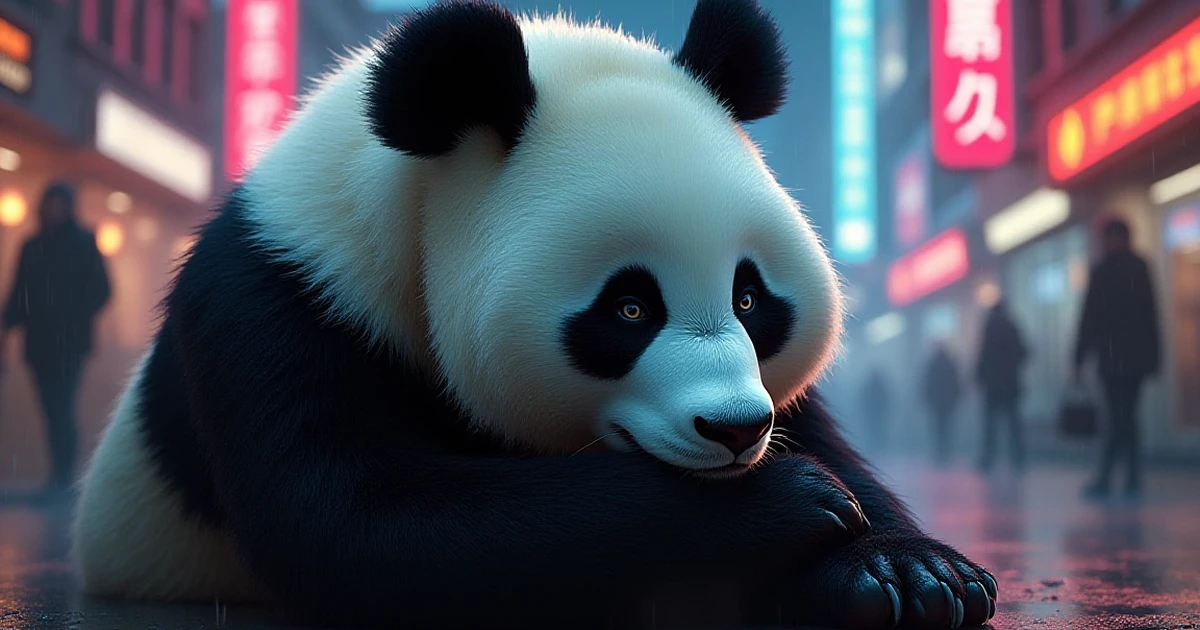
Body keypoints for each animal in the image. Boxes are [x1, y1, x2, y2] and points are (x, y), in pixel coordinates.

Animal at [71, 0, 998, 628]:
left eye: (748, 296)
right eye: (629, 307)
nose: (736, 429)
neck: (410, 207)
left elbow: (824, 437)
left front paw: (909, 572)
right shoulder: (283, 307)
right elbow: (359, 523)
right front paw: (788, 502)